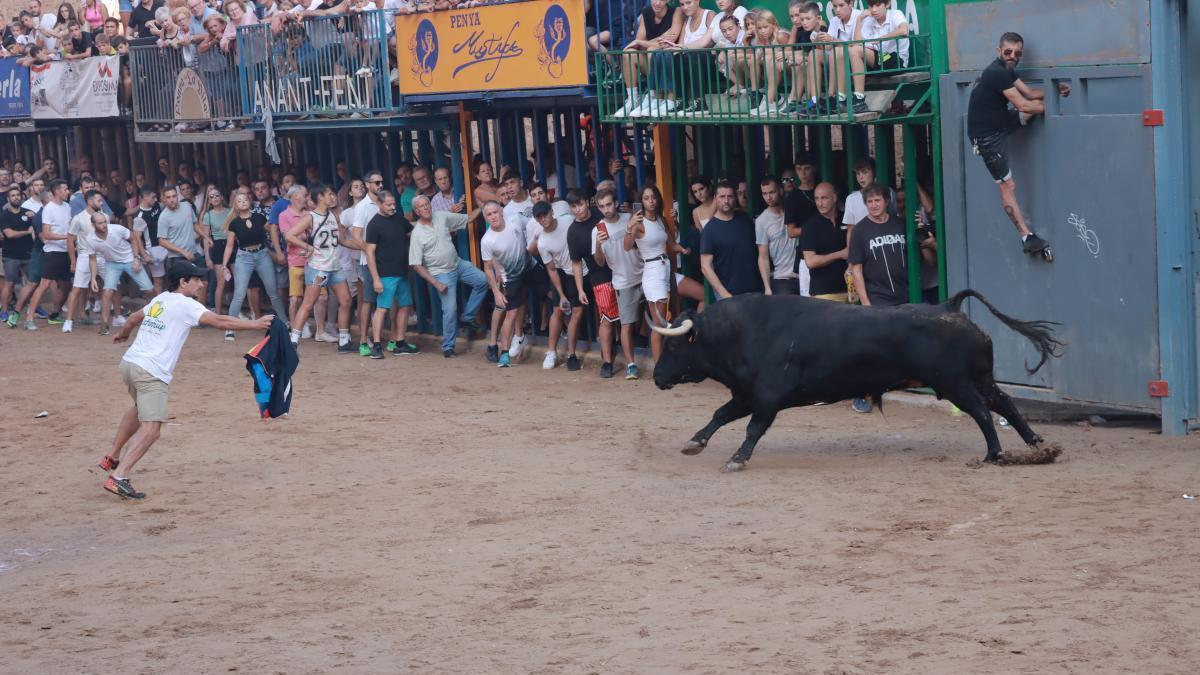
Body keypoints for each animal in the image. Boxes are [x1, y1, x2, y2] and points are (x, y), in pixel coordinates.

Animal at [652, 288, 1065, 468]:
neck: (742, 331)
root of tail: (950, 306)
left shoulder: (767, 396)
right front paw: (694, 443)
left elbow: (753, 428)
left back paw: (994, 454)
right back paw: (1037, 445)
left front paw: (737, 458)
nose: (656, 378)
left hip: (955, 384)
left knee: (982, 412)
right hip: (978, 378)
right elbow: (719, 415)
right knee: (1005, 404)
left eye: (672, 346)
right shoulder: (746, 394)